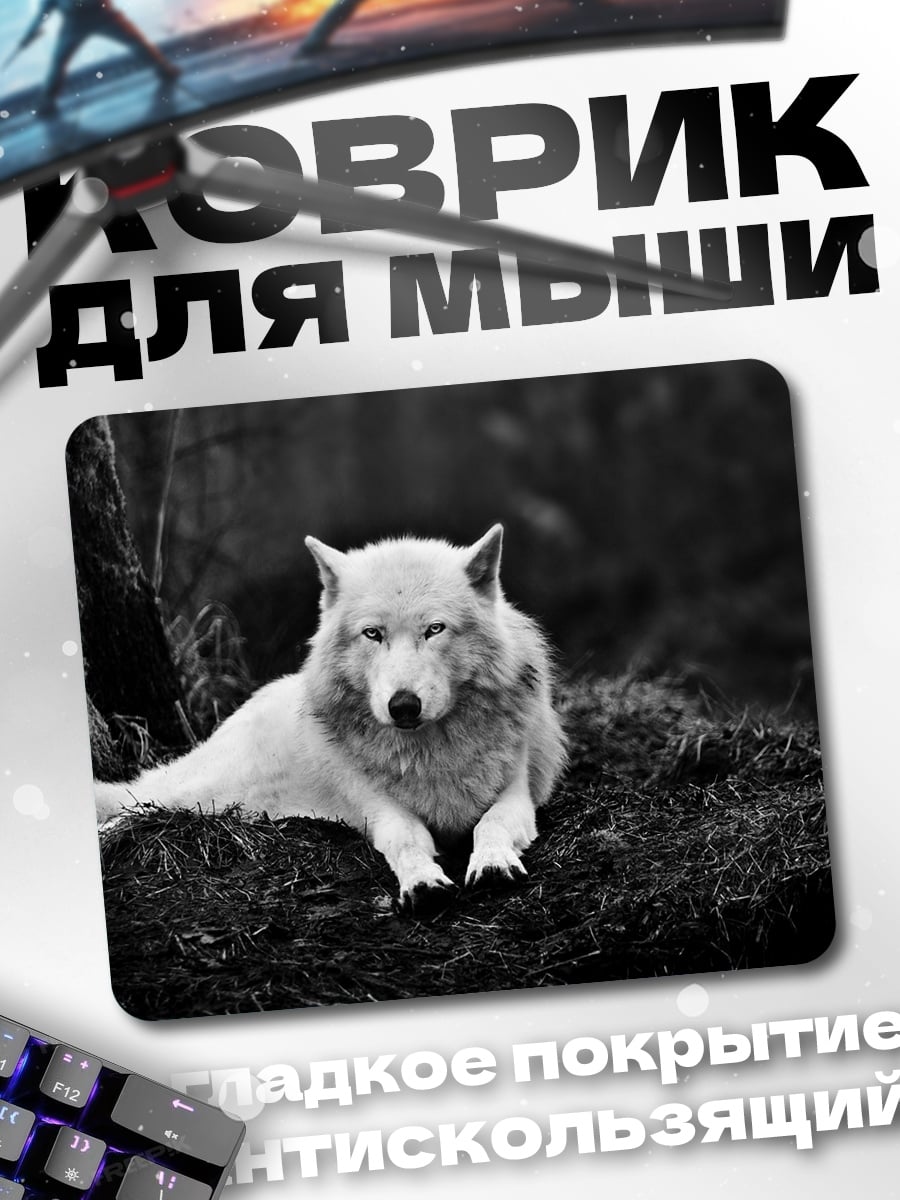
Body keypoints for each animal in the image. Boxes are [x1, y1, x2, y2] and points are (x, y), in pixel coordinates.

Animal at [94, 525, 567, 909]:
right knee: (138, 799)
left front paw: (491, 863)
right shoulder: (378, 807)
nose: (403, 705)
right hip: (205, 791)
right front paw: (422, 882)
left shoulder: (518, 793)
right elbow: (405, 840)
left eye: (434, 629)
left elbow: (491, 823)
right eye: (372, 634)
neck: (430, 753)